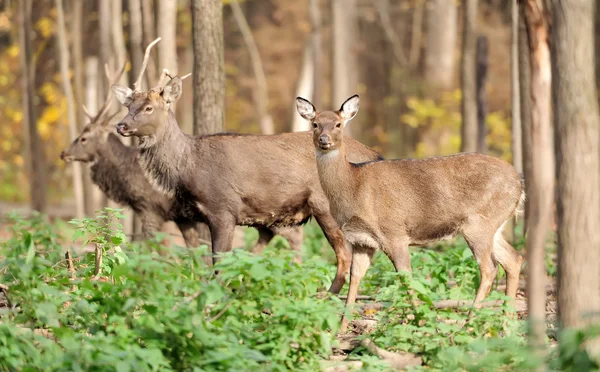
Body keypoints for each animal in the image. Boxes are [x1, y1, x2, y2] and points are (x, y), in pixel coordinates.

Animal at [59, 59, 304, 262]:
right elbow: (192, 252)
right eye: (128, 107)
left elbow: (149, 250)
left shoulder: (150, 208)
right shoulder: (182, 218)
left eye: (83, 138)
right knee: (266, 237)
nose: (63, 153)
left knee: (295, 237)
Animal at [110, 38, 382, 294]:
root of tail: (373, 153)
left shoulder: (223, 208)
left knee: (345, 254)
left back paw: (328, 296)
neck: (189, 166)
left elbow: (219, 263)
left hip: (326, 204)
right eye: (128, 106)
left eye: (148, 107)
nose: (121, 126)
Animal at [296, 93, 524, 332]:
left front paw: (421, 322)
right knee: (513, 259)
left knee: (489, 267)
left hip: (477, 223)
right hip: (493, 225)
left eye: (338, 124)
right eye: (315, 124)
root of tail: (519, 182)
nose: (324, 139)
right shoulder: (362, 241)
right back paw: (507, 325)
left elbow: (406, 277)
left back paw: (468, 324)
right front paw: (341, 328)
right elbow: (355, 278)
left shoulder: (394, 232)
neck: (354, 187)